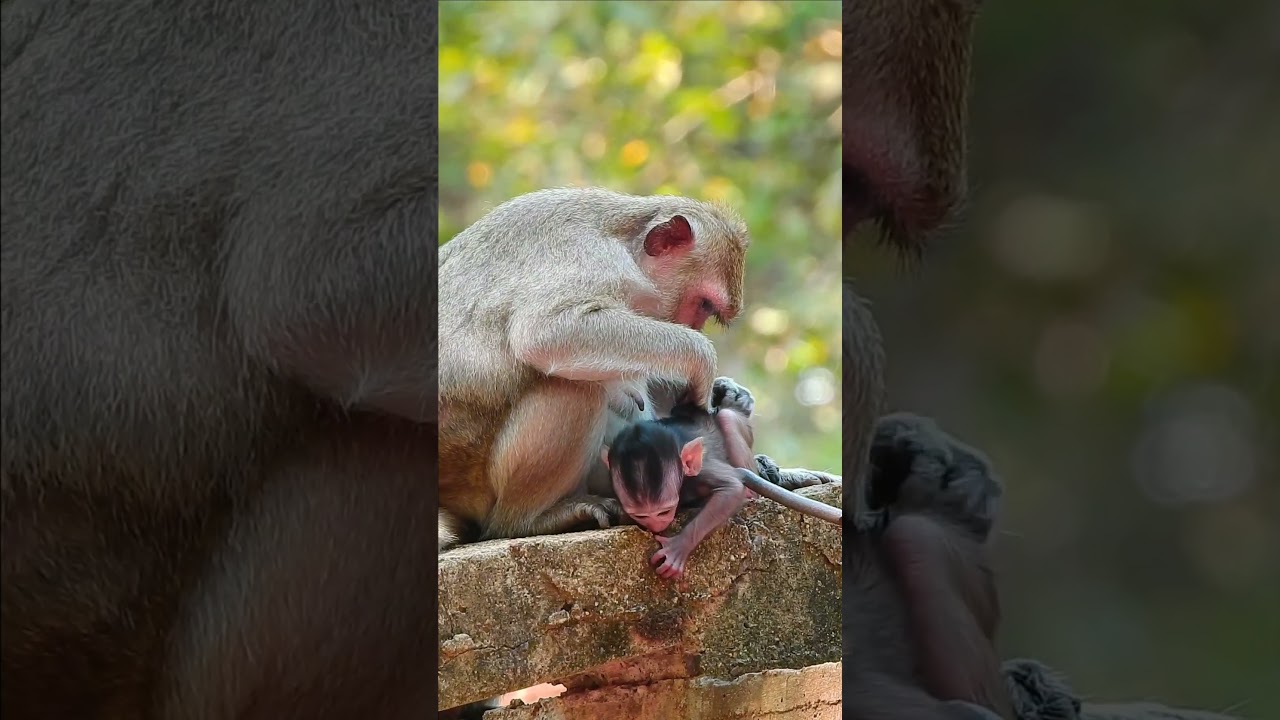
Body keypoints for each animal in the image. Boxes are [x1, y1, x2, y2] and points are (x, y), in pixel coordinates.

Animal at [601, 402, 839, 578]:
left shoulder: (702, 471)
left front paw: (678, 547)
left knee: (727, 418)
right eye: (641, 516)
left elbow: (732, 488)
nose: (656, 526)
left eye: (664, 512)